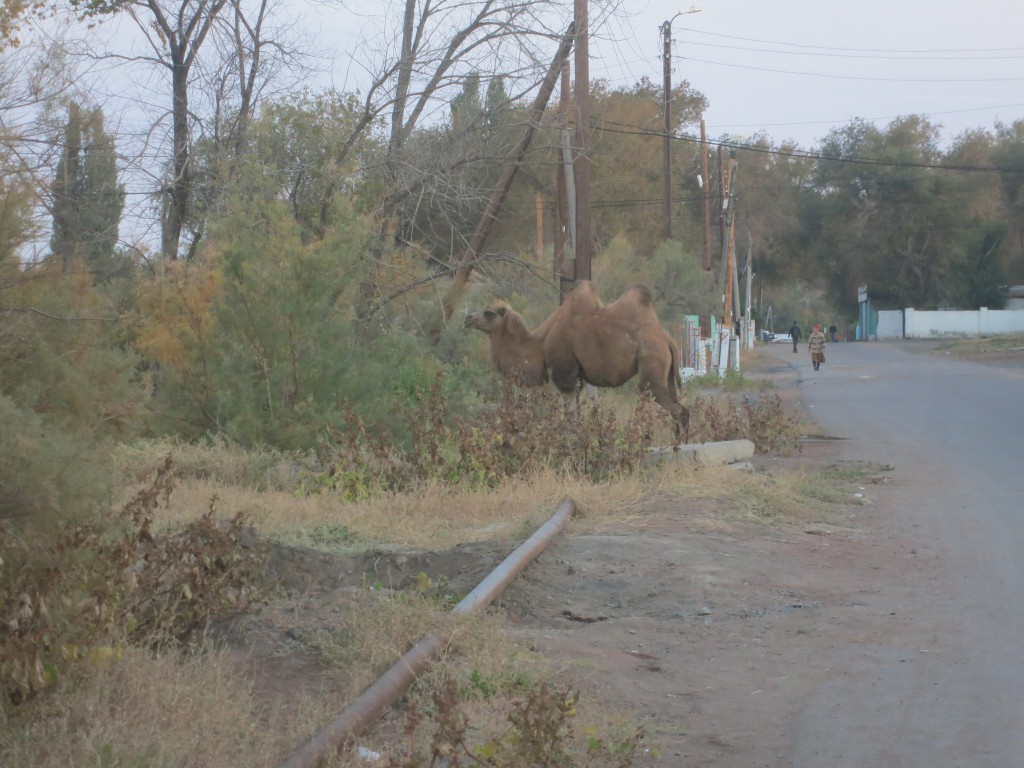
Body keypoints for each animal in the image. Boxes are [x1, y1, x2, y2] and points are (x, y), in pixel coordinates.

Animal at [462, 280, 688, 442]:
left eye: (489, 313)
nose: (468, 318)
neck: (541, 343)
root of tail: (667, 339)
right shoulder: (578, 375)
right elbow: (578, 410)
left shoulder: (565, 371)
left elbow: (569, 412)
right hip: (666, 370)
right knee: (680, 407)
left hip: (652, 362)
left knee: (673, 407)